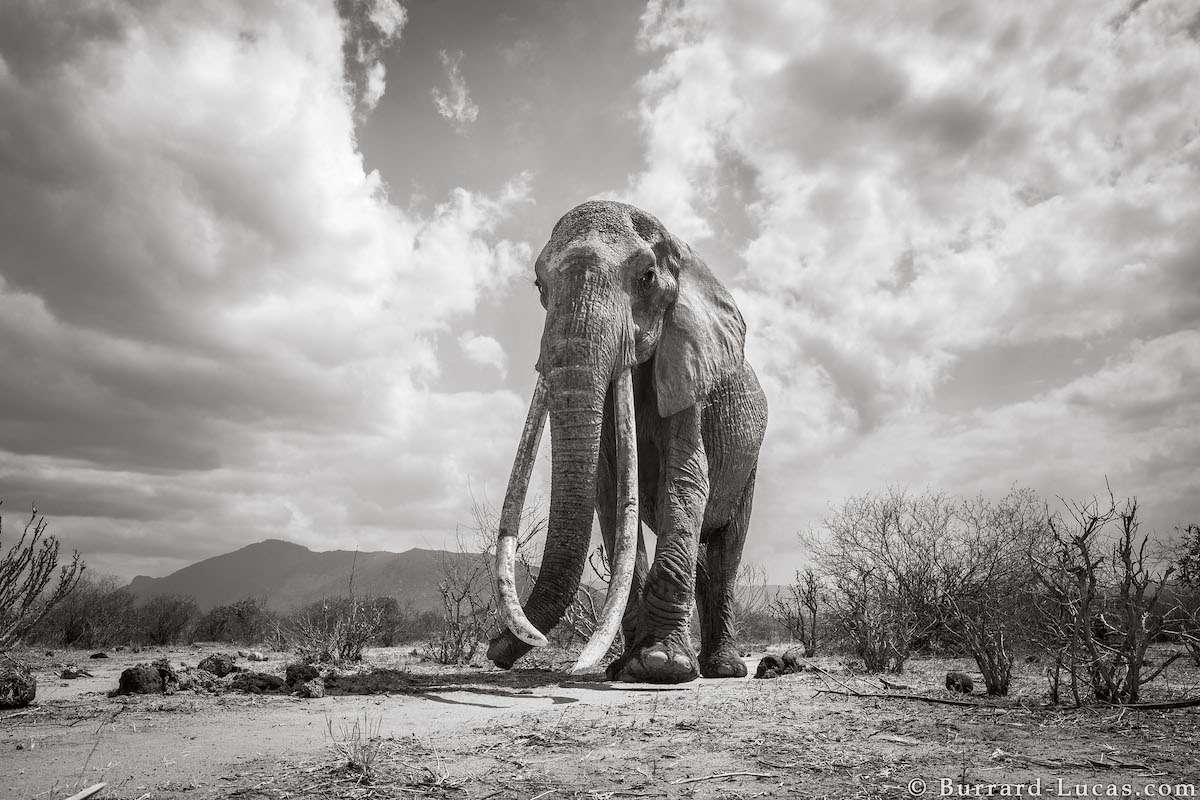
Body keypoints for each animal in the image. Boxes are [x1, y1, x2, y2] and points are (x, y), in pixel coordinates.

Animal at [484, 199, 768, 681]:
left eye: (647, 277)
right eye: (540, 284)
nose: (493, 649)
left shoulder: (688, 368)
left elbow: (686, 480)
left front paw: (662, 665)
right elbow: (611, 494)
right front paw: (626, 667)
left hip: (750, 462)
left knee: (727, 547)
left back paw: (723, 669)